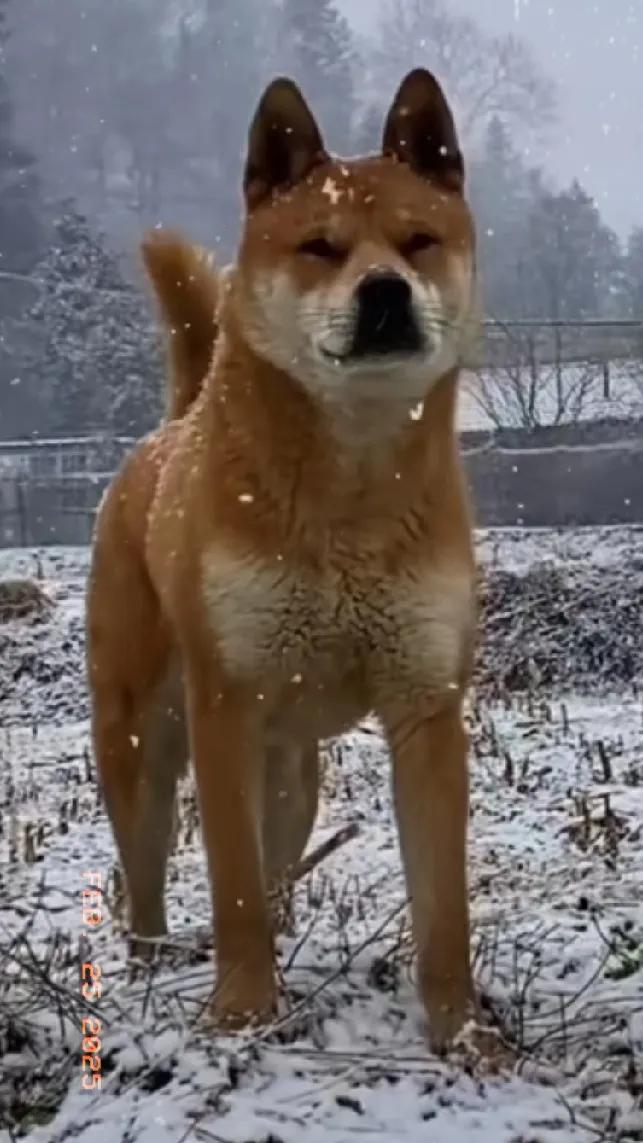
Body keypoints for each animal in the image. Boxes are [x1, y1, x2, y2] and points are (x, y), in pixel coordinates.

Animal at [86, 69, 477, 1051]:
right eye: (319, 247)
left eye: (418, 240)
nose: (385, 291)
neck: (352, 491)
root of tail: (174, 426)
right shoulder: (223, 708)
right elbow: (228, 887)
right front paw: (240, 1013)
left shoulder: (426, 707)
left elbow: (443, 911)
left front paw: (464, 1037)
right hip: (140, 740)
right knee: (145, 876)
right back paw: (151, 972)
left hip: (293, 771)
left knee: (277, 861)